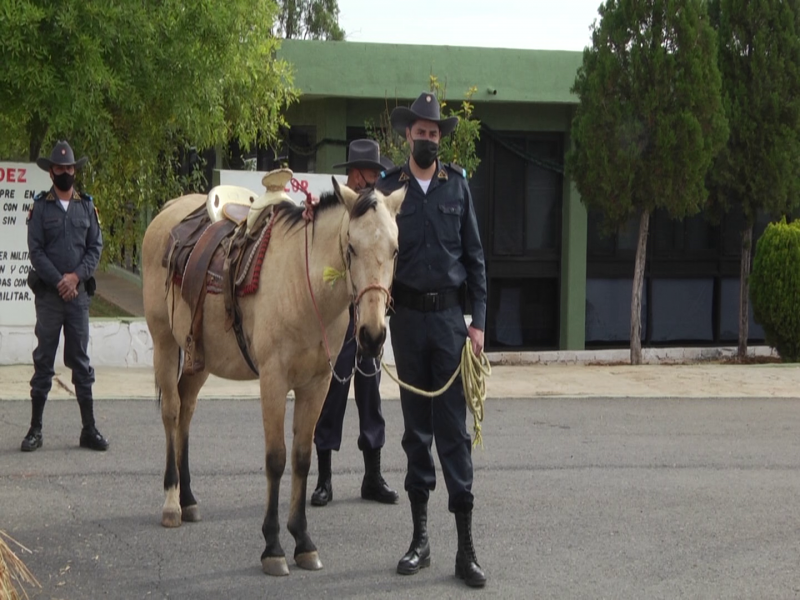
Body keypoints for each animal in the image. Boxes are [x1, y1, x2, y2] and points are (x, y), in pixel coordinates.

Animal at [139, 179, 406, 576]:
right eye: (351, 247)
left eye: (395, 250)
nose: (372, 336)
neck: (304, 288)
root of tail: (168, 210)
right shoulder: (274, 381)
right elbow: (276, 459)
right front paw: (273, 547)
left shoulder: (317, 385)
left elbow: (302, 457)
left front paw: (303, 541)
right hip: (165, 343)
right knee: (172, 412)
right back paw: (172, 502)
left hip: (200, 358)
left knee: (186, 410)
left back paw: (188, 499)